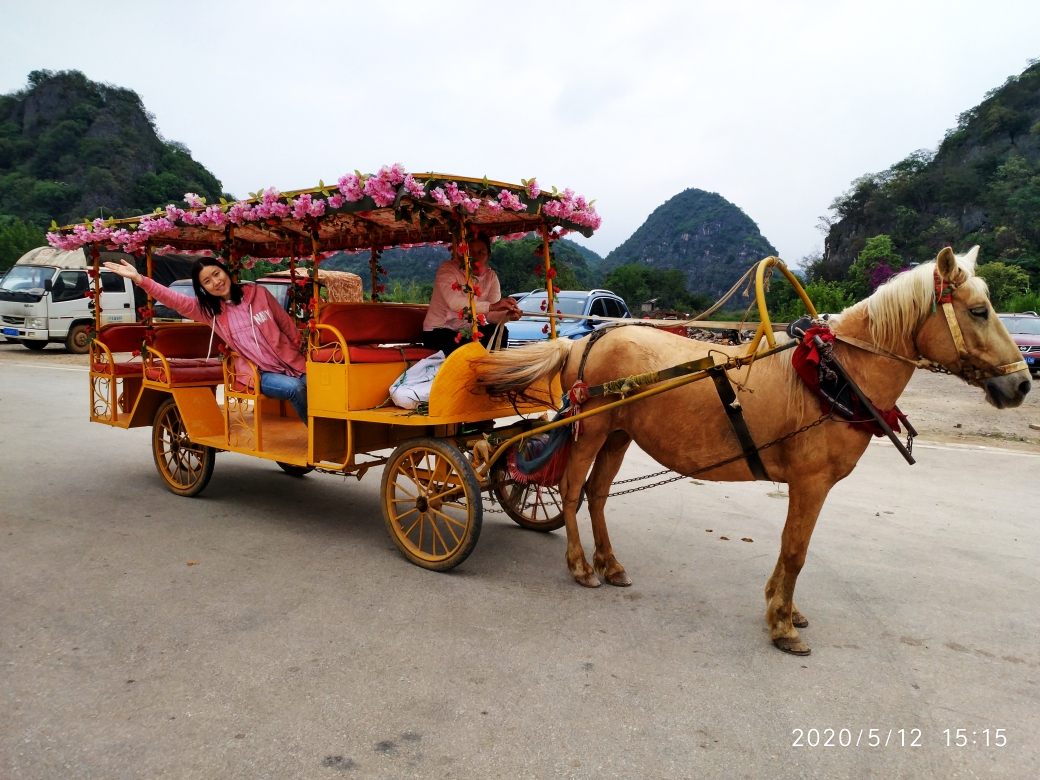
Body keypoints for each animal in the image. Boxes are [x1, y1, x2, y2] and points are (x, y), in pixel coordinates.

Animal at [476, 248, 1031, 653]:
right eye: (978, 311)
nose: (1022, 384)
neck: (832, 375)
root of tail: (581, 341)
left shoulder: (808, 485)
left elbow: (791, 550)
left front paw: (784, 611)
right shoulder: (810, 482)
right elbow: (796, 551)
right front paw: (781, 624)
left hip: (618, 433)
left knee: (596, 494)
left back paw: (610, 564)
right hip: (589, 429)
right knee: (571, 490)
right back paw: (580, 566)